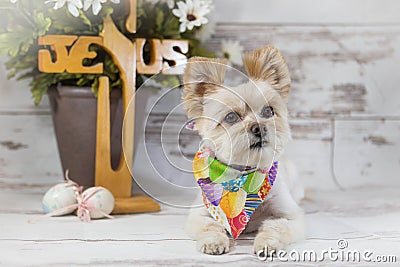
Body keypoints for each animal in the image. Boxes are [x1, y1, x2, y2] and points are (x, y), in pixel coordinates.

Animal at [181, 45, 304, 255]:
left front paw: (267, 243)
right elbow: (210, 226)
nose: (259, 127)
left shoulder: (292, 216)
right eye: (231, 117)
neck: (242, 178)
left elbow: (275, 227)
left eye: (268, 111)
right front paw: (213, 241)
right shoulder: (199, 214)